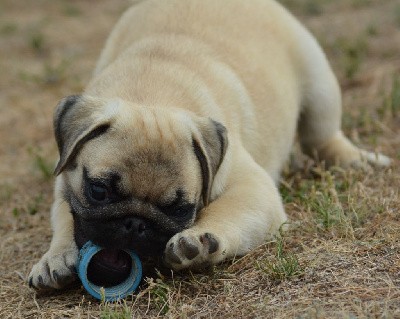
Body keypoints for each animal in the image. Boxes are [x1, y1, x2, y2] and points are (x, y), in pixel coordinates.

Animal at [27, 0, 388, 290]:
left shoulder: (253, 189)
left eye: (180, 209)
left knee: (321, 138)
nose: (135, 225)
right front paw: (54, 257)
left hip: (319, 82)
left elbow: (225, 210)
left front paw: (200, 241)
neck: (150, 94)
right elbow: (65, 218)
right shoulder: (66, 184)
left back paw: (356, 160)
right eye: (98, 191)